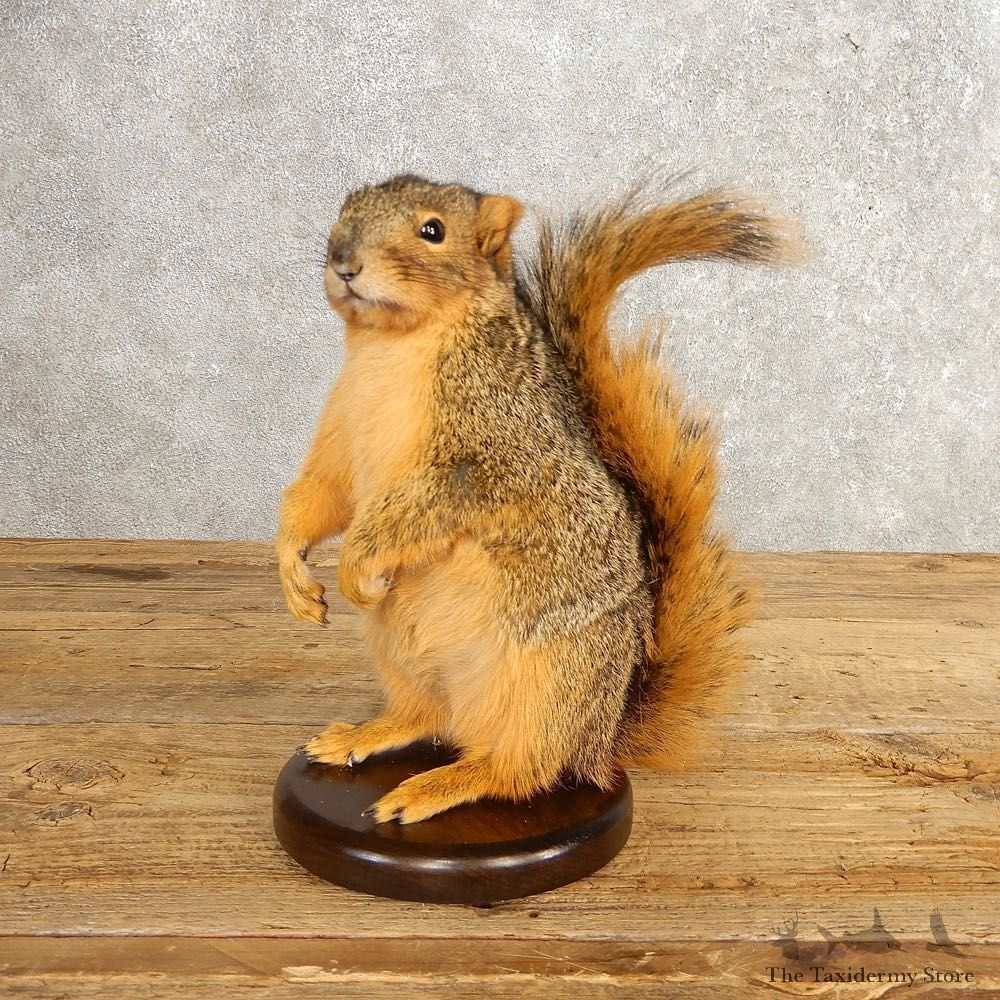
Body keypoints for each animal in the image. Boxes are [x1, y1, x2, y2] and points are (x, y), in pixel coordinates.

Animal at [276, 173, 796, 824]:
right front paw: (294, 573)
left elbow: (413, 511)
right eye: (343, 212)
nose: (344, 262)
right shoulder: (342, 439)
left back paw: (438, 785)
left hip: (549, 685)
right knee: (425, 718)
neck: (391, 346)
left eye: (432, 230)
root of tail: (600, 741)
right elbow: (322, 495)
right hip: (403, 654)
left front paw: (354, 568)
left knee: (522, 771)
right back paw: (365, 735)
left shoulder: (484, 456)